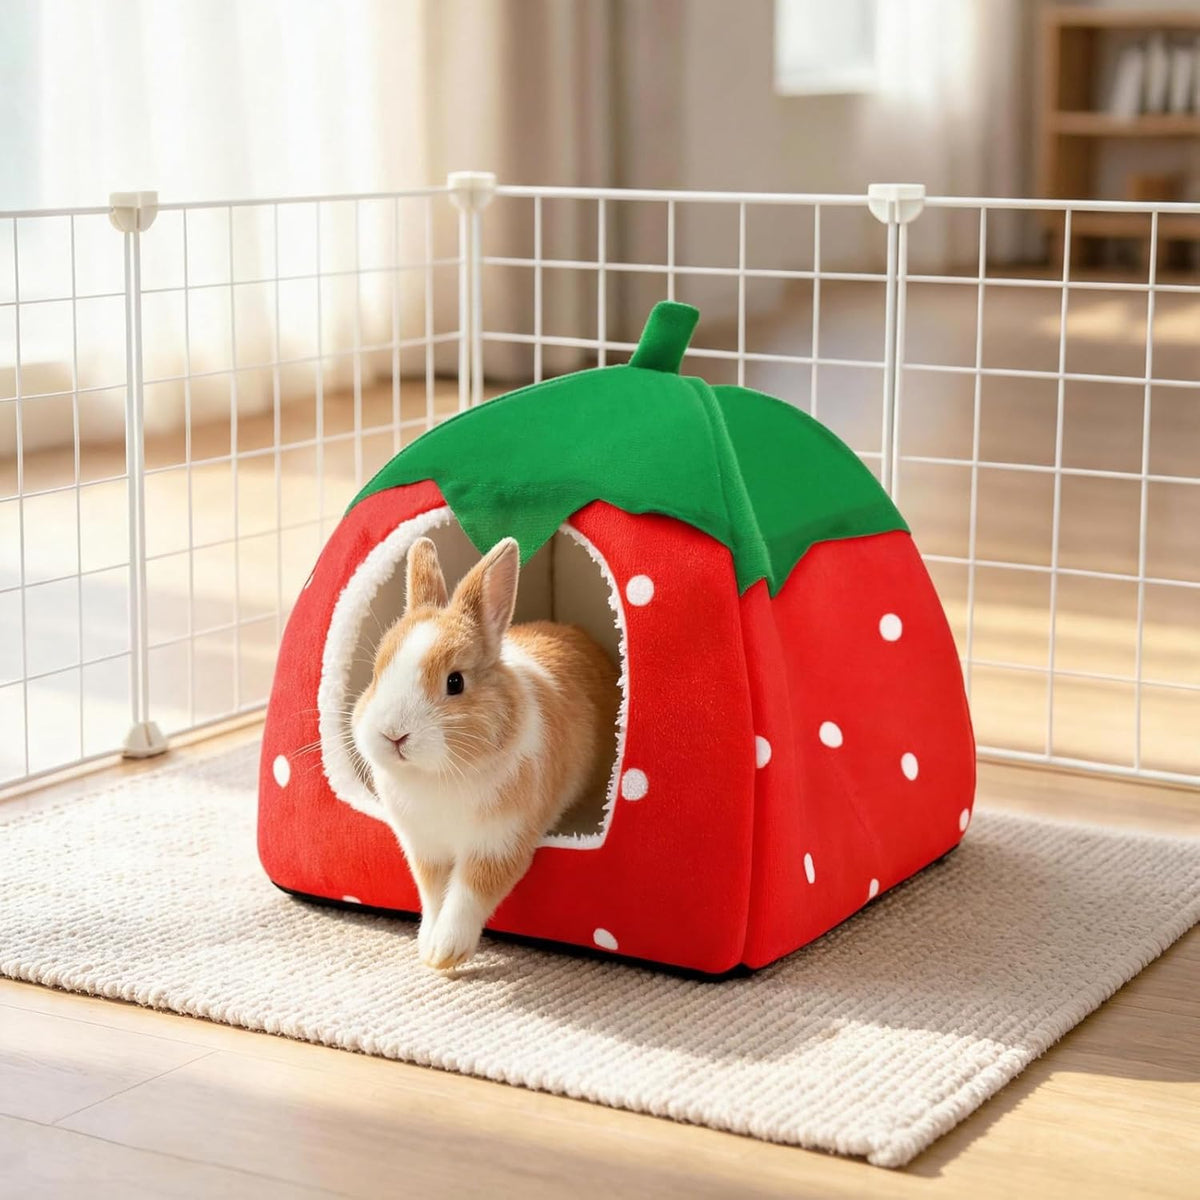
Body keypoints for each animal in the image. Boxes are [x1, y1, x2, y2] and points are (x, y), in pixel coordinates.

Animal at [352, 534, 620, 971]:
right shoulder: (425, 849)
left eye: (455, 682)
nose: (393, 734)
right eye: (376, 674)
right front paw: (427, 945)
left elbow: (468, 894)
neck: (437, 776)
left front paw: (444, 954)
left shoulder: (497, 845)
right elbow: (433, 893)